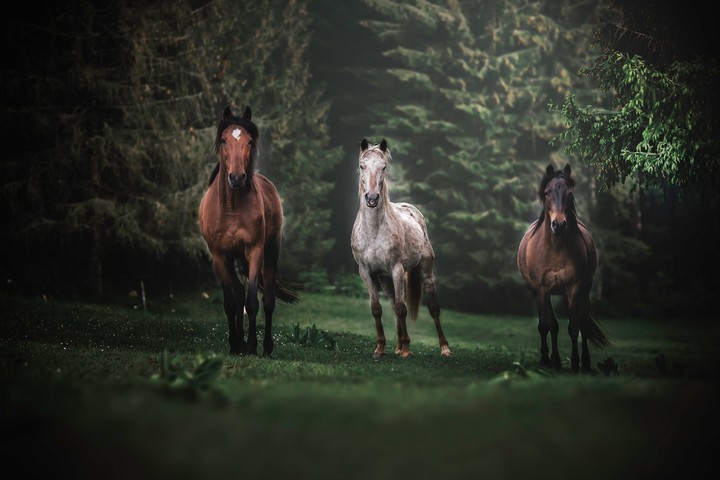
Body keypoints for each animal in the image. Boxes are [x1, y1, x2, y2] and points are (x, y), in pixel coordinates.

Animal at [198, 105, 298, 356]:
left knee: (268, 300)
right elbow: (231, 303)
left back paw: (266, 347)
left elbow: (252, 302)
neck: (232, 207)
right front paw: (235, 344)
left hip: (270, 252)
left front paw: (252, 346)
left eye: (250, 141)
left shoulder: (255, 252)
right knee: (238, 293)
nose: (236, 177)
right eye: (223, 140)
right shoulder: (220, 257)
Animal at [351, 138, 452, 358]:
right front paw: (380, 348)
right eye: (362, 166)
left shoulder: (397, 269)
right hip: (385, 279)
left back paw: (444, 348)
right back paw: (396, 346)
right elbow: (377, 308)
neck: (374, 231)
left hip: (425, 272)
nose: (372, 198)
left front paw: (406, 349)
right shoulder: (366, 272)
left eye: (383, 167)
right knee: (392, 305)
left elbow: (401, 308)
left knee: (432, 308)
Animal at [516, 163, 609, 372]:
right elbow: (548, 326)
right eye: (547, 192)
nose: (558, 225)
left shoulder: (574, 288)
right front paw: (551, 360)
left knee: (582, 321)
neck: (555, 249)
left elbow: (574, 328)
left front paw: (575, 363)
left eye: (569, 193)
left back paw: (586, 362)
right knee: (550, 324)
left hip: (583, 290)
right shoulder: (542, 290)